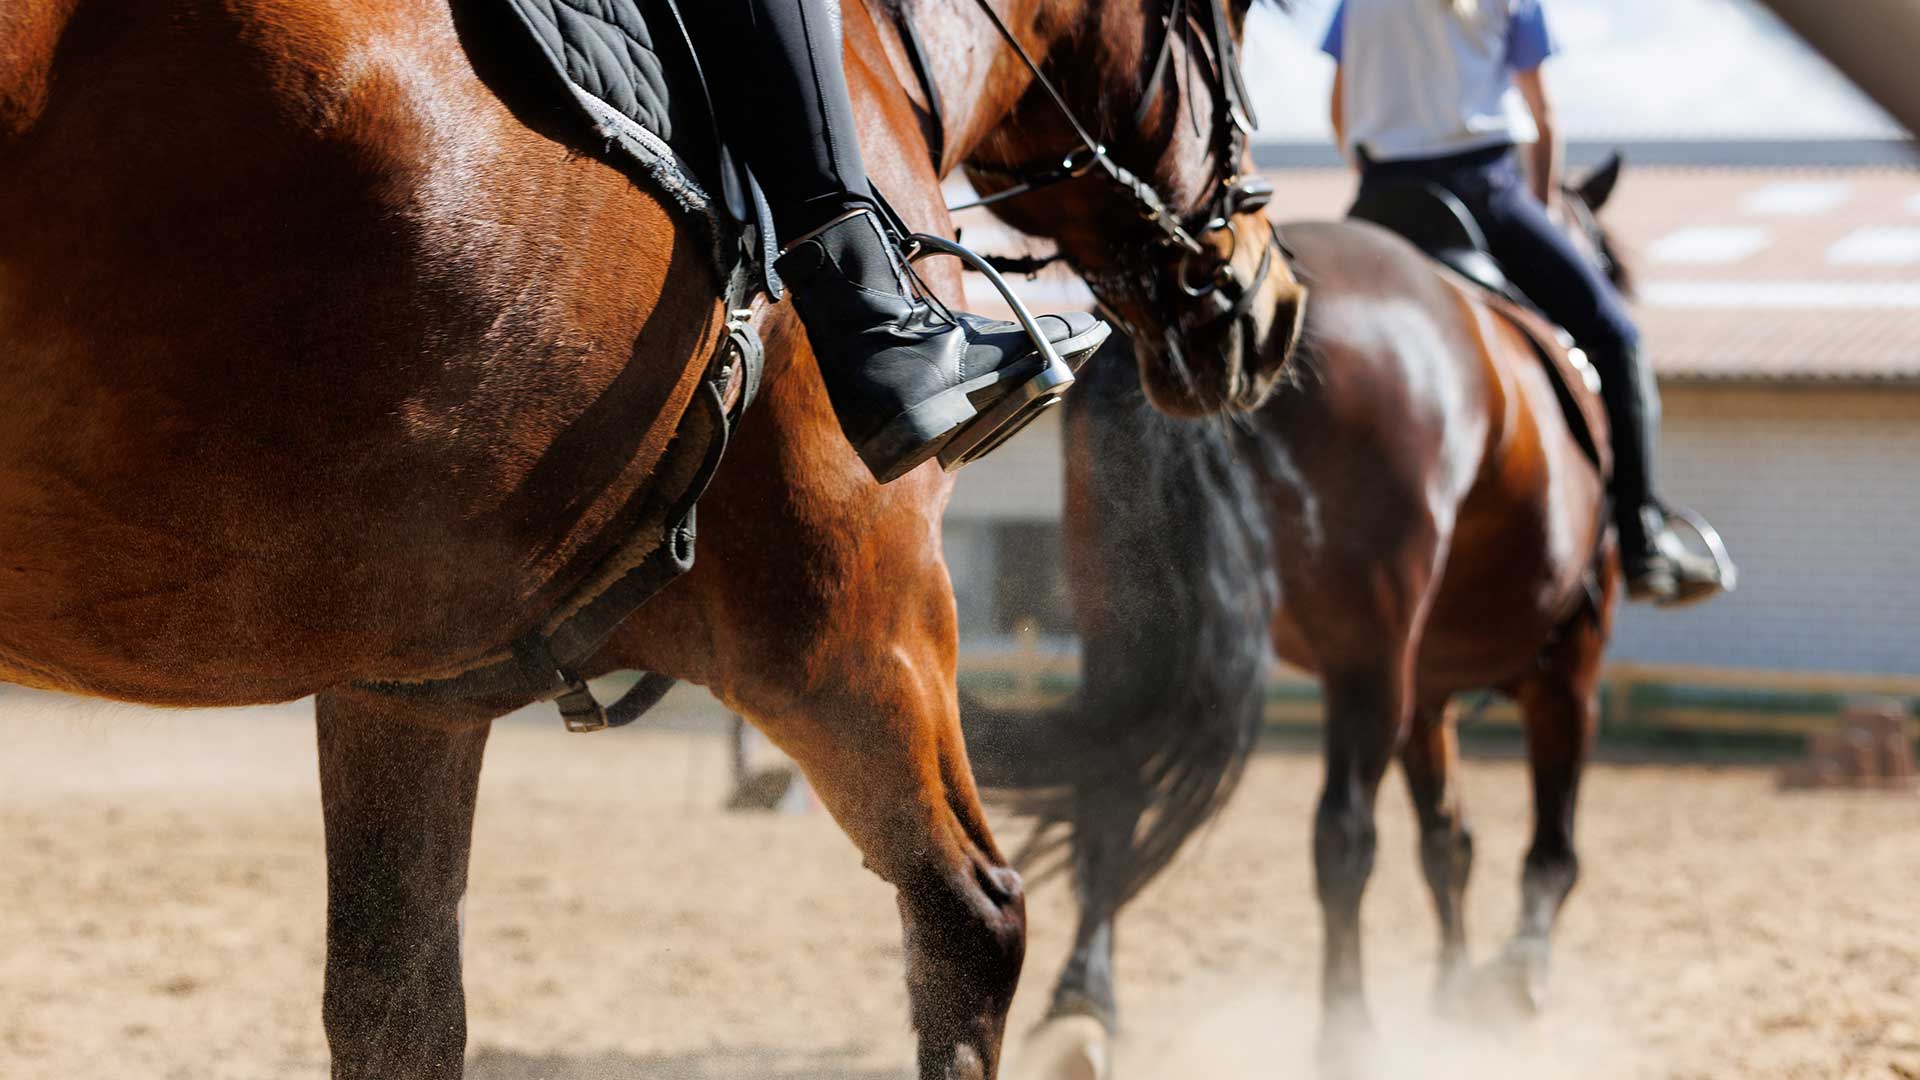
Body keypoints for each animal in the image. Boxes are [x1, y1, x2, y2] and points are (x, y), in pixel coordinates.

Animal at [1, 1, 1303, 1077]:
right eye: (1231, 18)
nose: (1271, 305)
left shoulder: (406, 687)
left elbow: (395, 1008)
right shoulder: (857, 621)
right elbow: (971, 924)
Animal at [969, 163, 1632, 1076]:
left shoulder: (1430, 692)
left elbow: (1447, 845)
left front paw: (1452, 997)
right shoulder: (1567, 667)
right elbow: (1546, 849)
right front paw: (1510, 980)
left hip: (1125, 628)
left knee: (1112, 782)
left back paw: (1081, 1011)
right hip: (1371, 658)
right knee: (1343, 836)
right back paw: (1346, 1032)